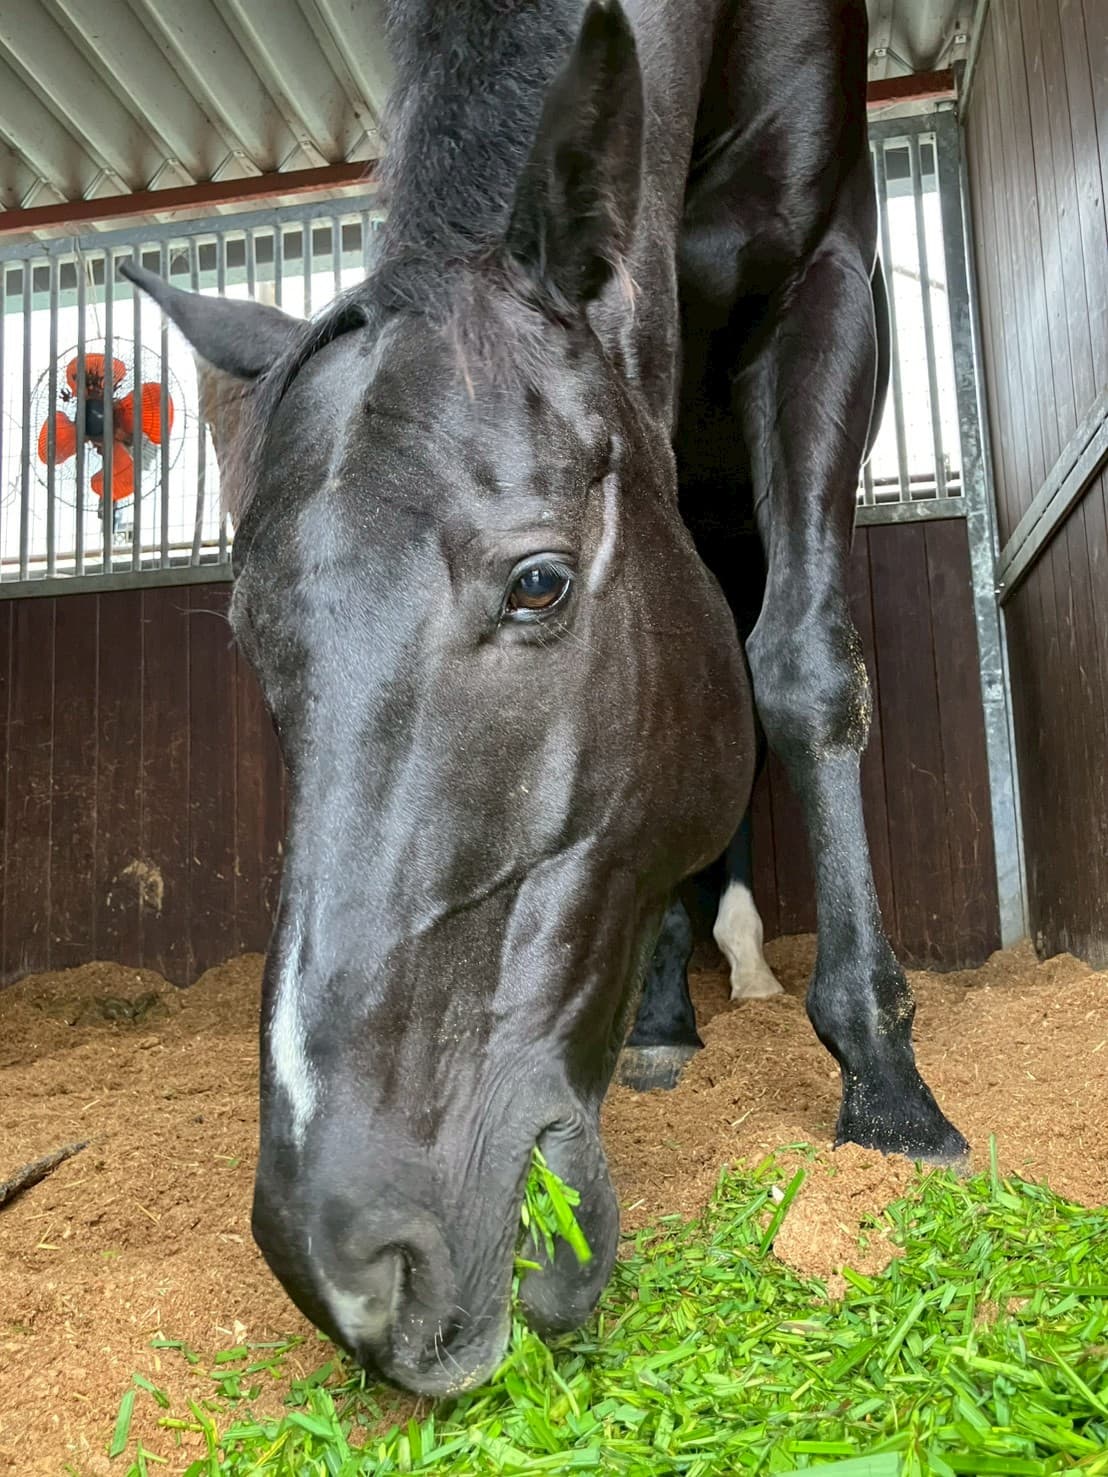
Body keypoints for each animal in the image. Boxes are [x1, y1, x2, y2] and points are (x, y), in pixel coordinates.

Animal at [123, 0, 967, 1397]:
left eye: (537, 584)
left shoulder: (826, 284)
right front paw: (672, 1014)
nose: (354, 1266)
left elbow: (801, 668)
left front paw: (888, 1086)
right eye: (253, 640)